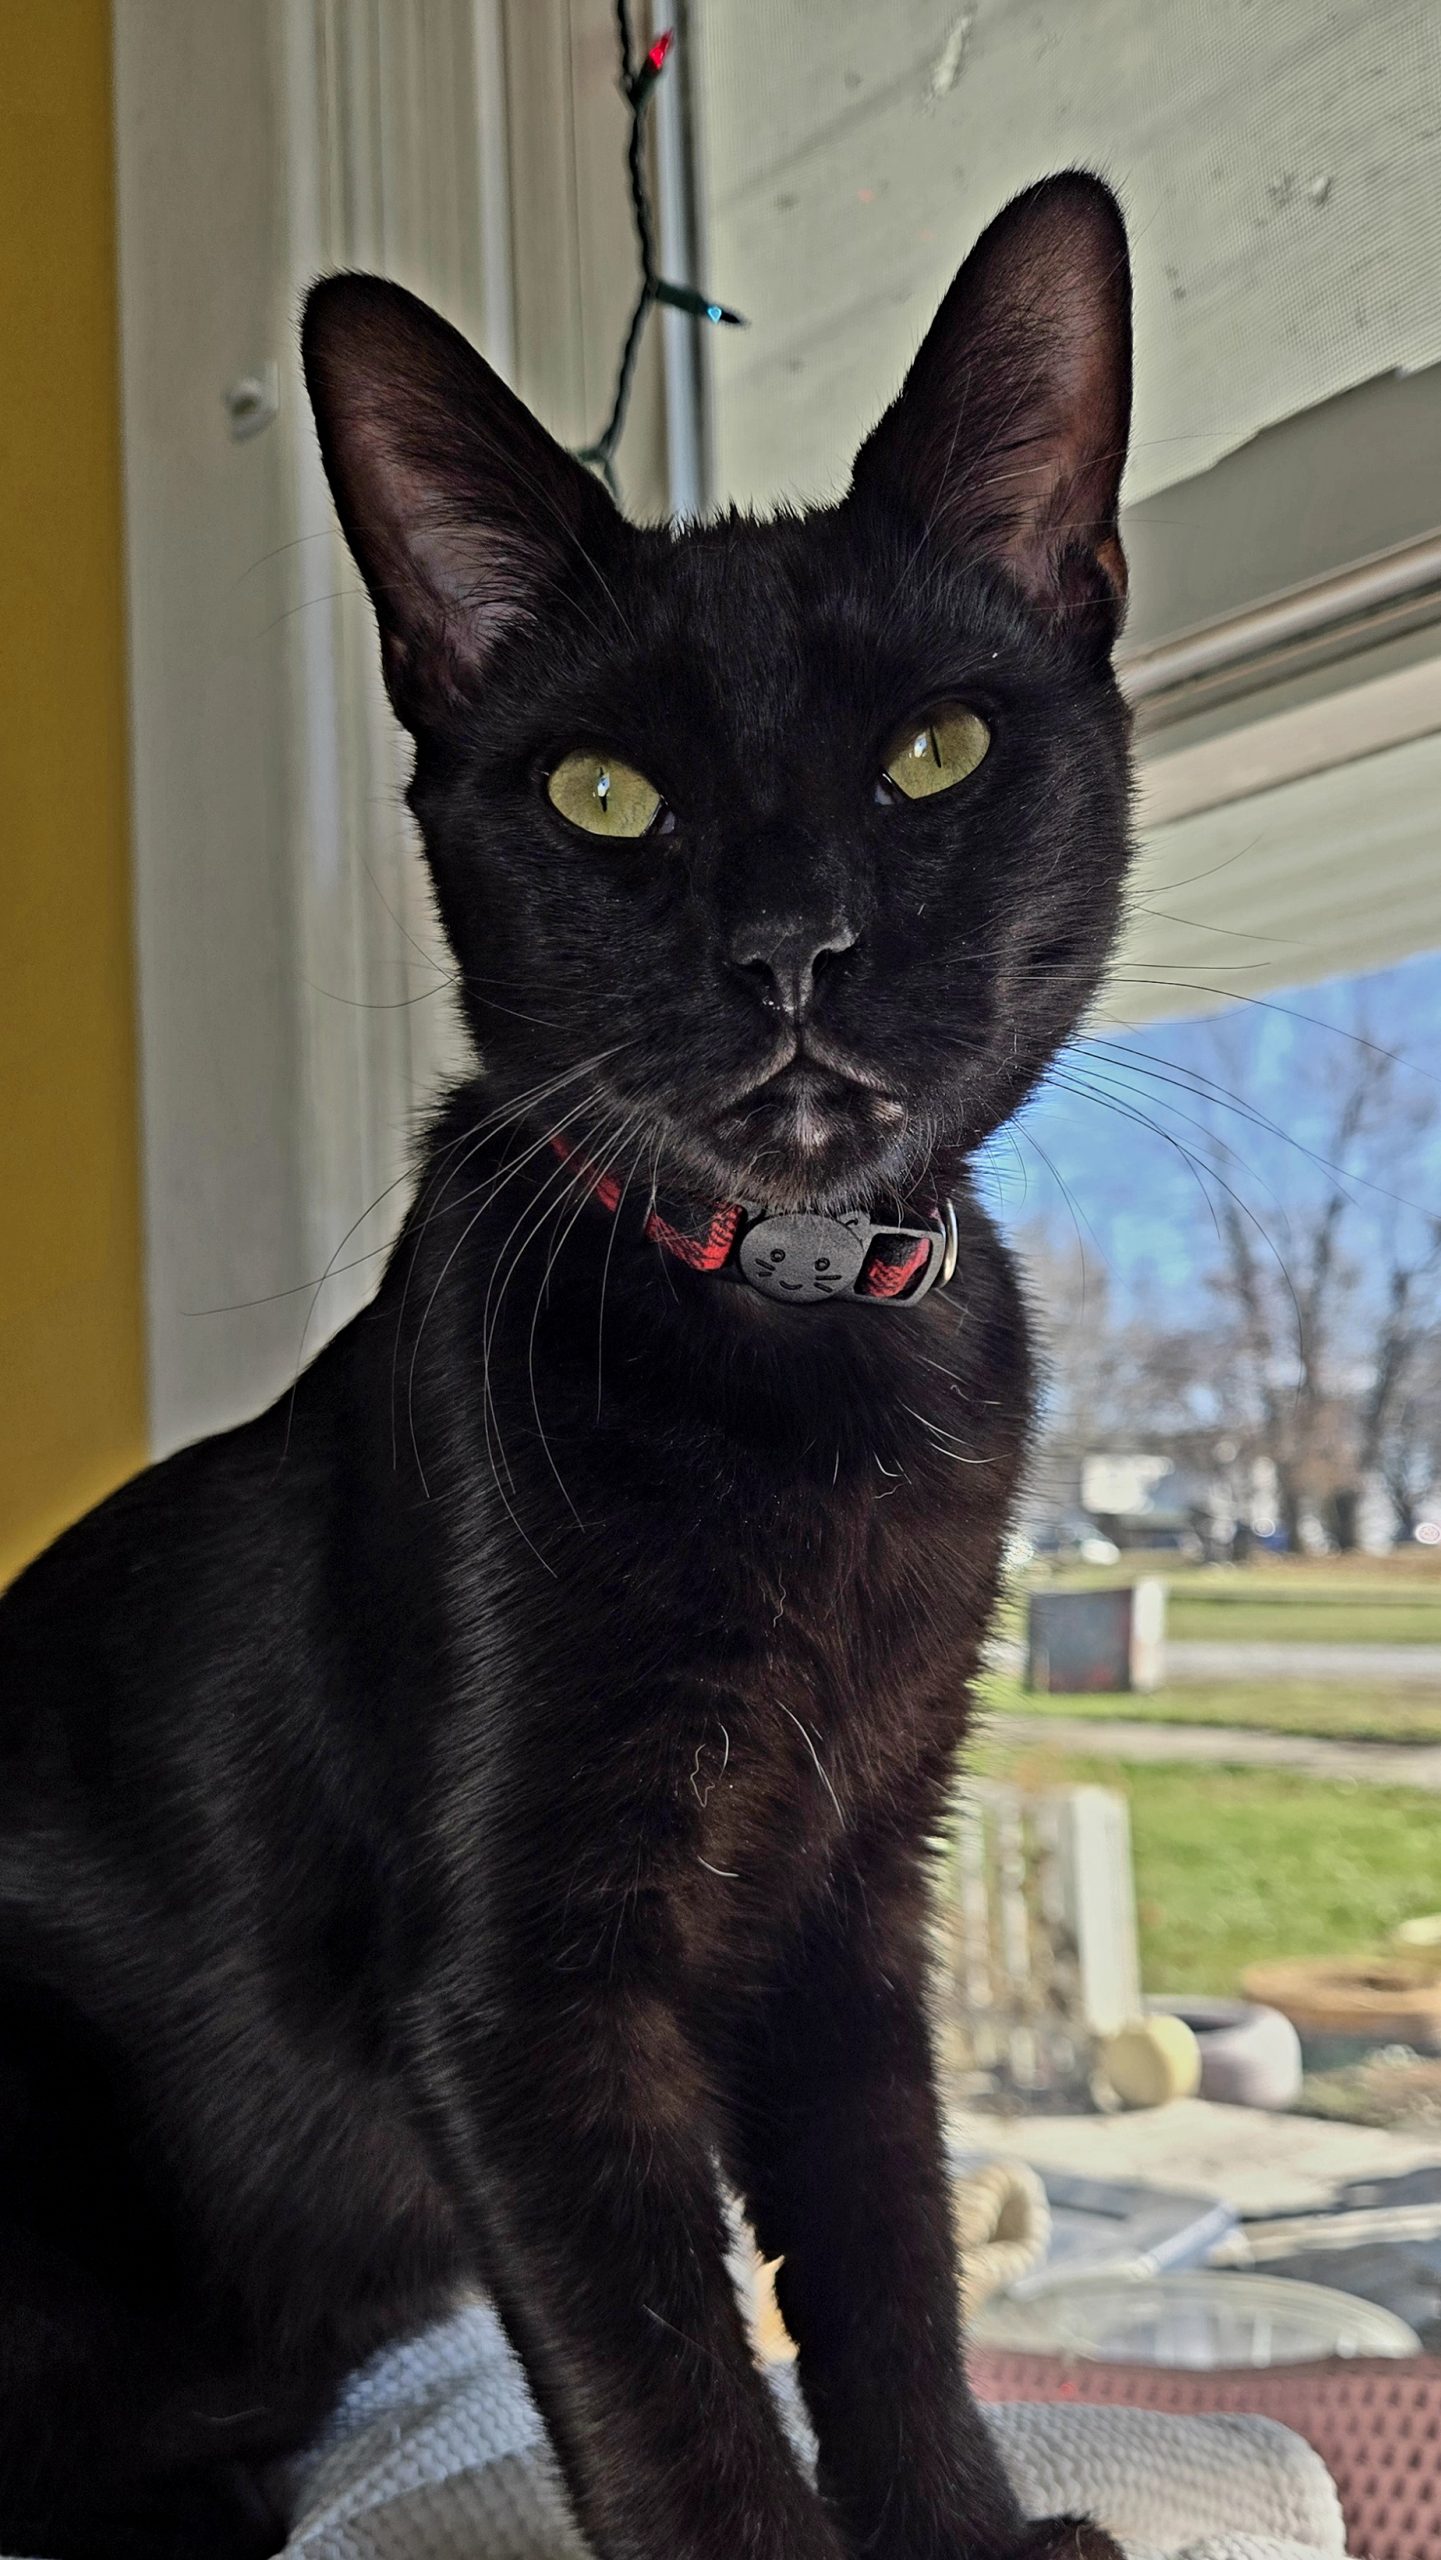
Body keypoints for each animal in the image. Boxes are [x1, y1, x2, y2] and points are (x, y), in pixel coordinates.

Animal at [0, 171, 1133, 2560]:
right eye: (605, 794)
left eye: (935, 750)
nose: (789, 947)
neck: (799, 1349)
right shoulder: (521, 1999)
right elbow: (672, 2390)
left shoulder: (853, 1895)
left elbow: (887, 2256)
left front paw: (967, 2527)